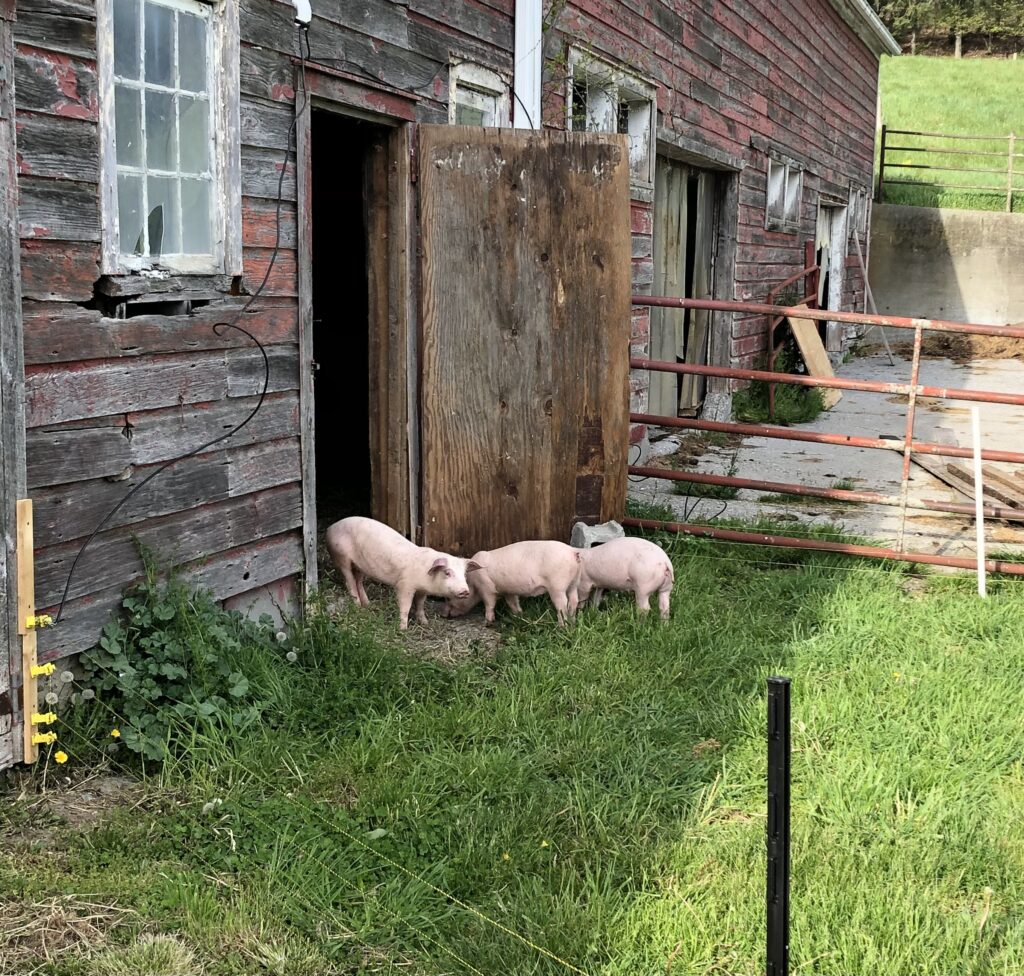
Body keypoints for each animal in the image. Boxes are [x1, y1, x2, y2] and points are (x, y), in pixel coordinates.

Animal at [325, 516, 480, 630]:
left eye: (464, 574)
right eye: (447, 573)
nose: (465, 591)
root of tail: (330, 527)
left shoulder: (422, 590)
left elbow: (420, 605)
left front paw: (425, 623)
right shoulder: (404, 585)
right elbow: (405, 606)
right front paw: (403, 629)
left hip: (360, 565)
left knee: (358, 581)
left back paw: (367, 605)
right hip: (341, 556)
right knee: (349, 581)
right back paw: (357, 606)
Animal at [441, 540, 583, 627]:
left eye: (448, 598)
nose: (443, 615)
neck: (472, 584)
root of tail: (572, 552)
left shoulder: (486, 587)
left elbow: (489, 603)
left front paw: (488, 622)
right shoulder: (508, 591)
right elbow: (512, 602)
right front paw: (519, 614)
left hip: (557, 586)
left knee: (562, 605)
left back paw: (561, 626)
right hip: (574, 583)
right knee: (574, 600)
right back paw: (573, 623)